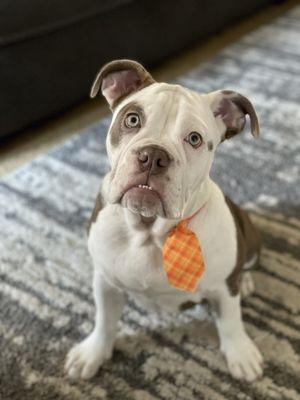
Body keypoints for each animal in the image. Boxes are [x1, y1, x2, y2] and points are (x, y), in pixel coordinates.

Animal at [65, 58, 262, 382]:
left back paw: (245, 281)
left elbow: (231, 321)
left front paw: (241, 354)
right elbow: (104, 319)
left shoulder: (223, 290)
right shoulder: (105, 281)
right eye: (132, 119)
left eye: (194, 139)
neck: (149, 230)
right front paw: (93, 353)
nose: (153, 155)